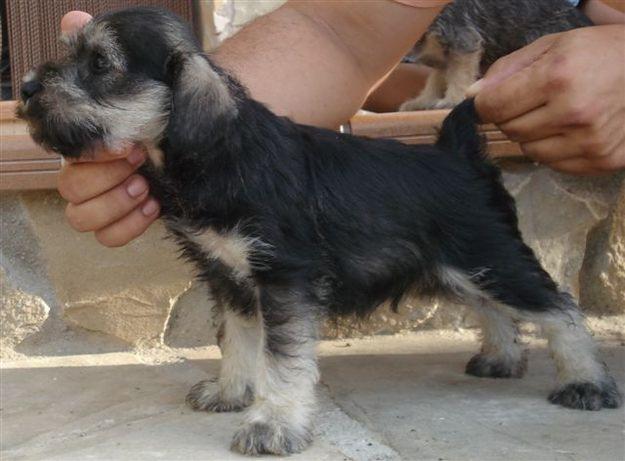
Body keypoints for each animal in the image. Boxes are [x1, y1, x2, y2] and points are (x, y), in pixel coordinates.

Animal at [400, 0, 588, 110]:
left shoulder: (463, 41)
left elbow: (458, 75)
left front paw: (452, 100)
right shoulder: (443, 56)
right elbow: (436, 80)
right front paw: (423, 101)